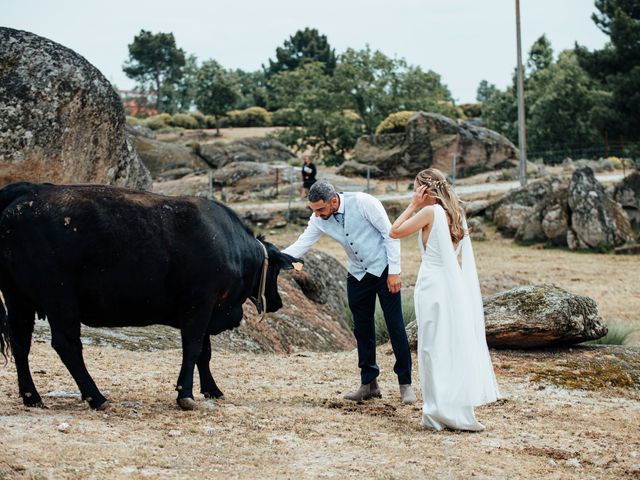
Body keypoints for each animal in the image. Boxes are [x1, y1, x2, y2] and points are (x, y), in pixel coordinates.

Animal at [0, 182, 300, 410]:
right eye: (276, 272)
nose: (277, 302)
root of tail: (28, 191)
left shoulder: (204, 309)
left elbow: (204, 353)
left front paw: (212, 389)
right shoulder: (200, 304)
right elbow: (193, 348)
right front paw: (185, 394)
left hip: (18, 299)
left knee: (20, 343)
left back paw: (32, 397)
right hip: (60, 299)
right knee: (67, 345)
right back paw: (96, 397)